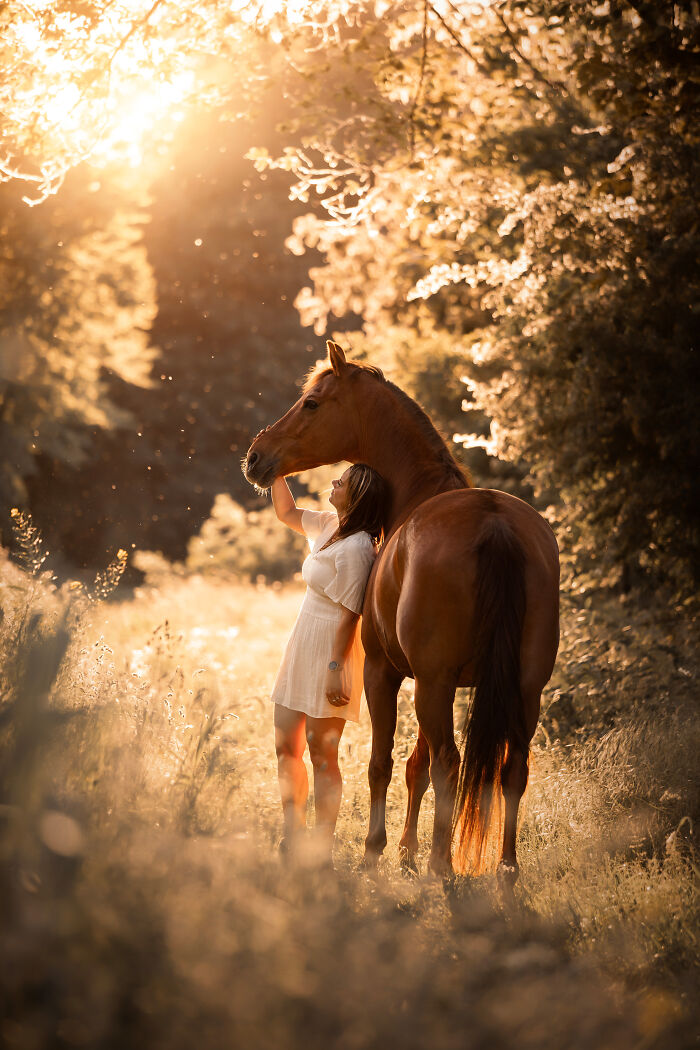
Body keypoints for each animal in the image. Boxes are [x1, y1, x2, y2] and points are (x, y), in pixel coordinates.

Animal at [244, 341, 559, 883]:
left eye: (311, 403)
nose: (256, 457)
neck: (418, 495)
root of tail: (496, 523)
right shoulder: (441, 683)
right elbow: (416, 765)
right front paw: (406, 851)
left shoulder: (386, 673)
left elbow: (384, 762)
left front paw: (377, 851)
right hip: (523, 687)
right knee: (511, 767)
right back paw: (505, 868)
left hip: (433, 684)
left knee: (450, 763)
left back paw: (442, 865)